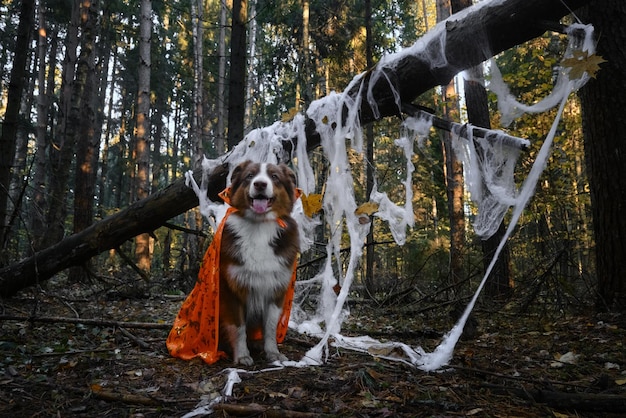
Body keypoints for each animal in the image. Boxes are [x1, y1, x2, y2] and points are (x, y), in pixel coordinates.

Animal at [218, 162, 298, 364]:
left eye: (275, 176)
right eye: (249, 176)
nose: (260, 184)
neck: (260, 226)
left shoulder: (276, 288)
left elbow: (270, 325)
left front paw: (272, 352)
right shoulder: (232, 289)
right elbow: (238, 327)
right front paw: (242, 355)